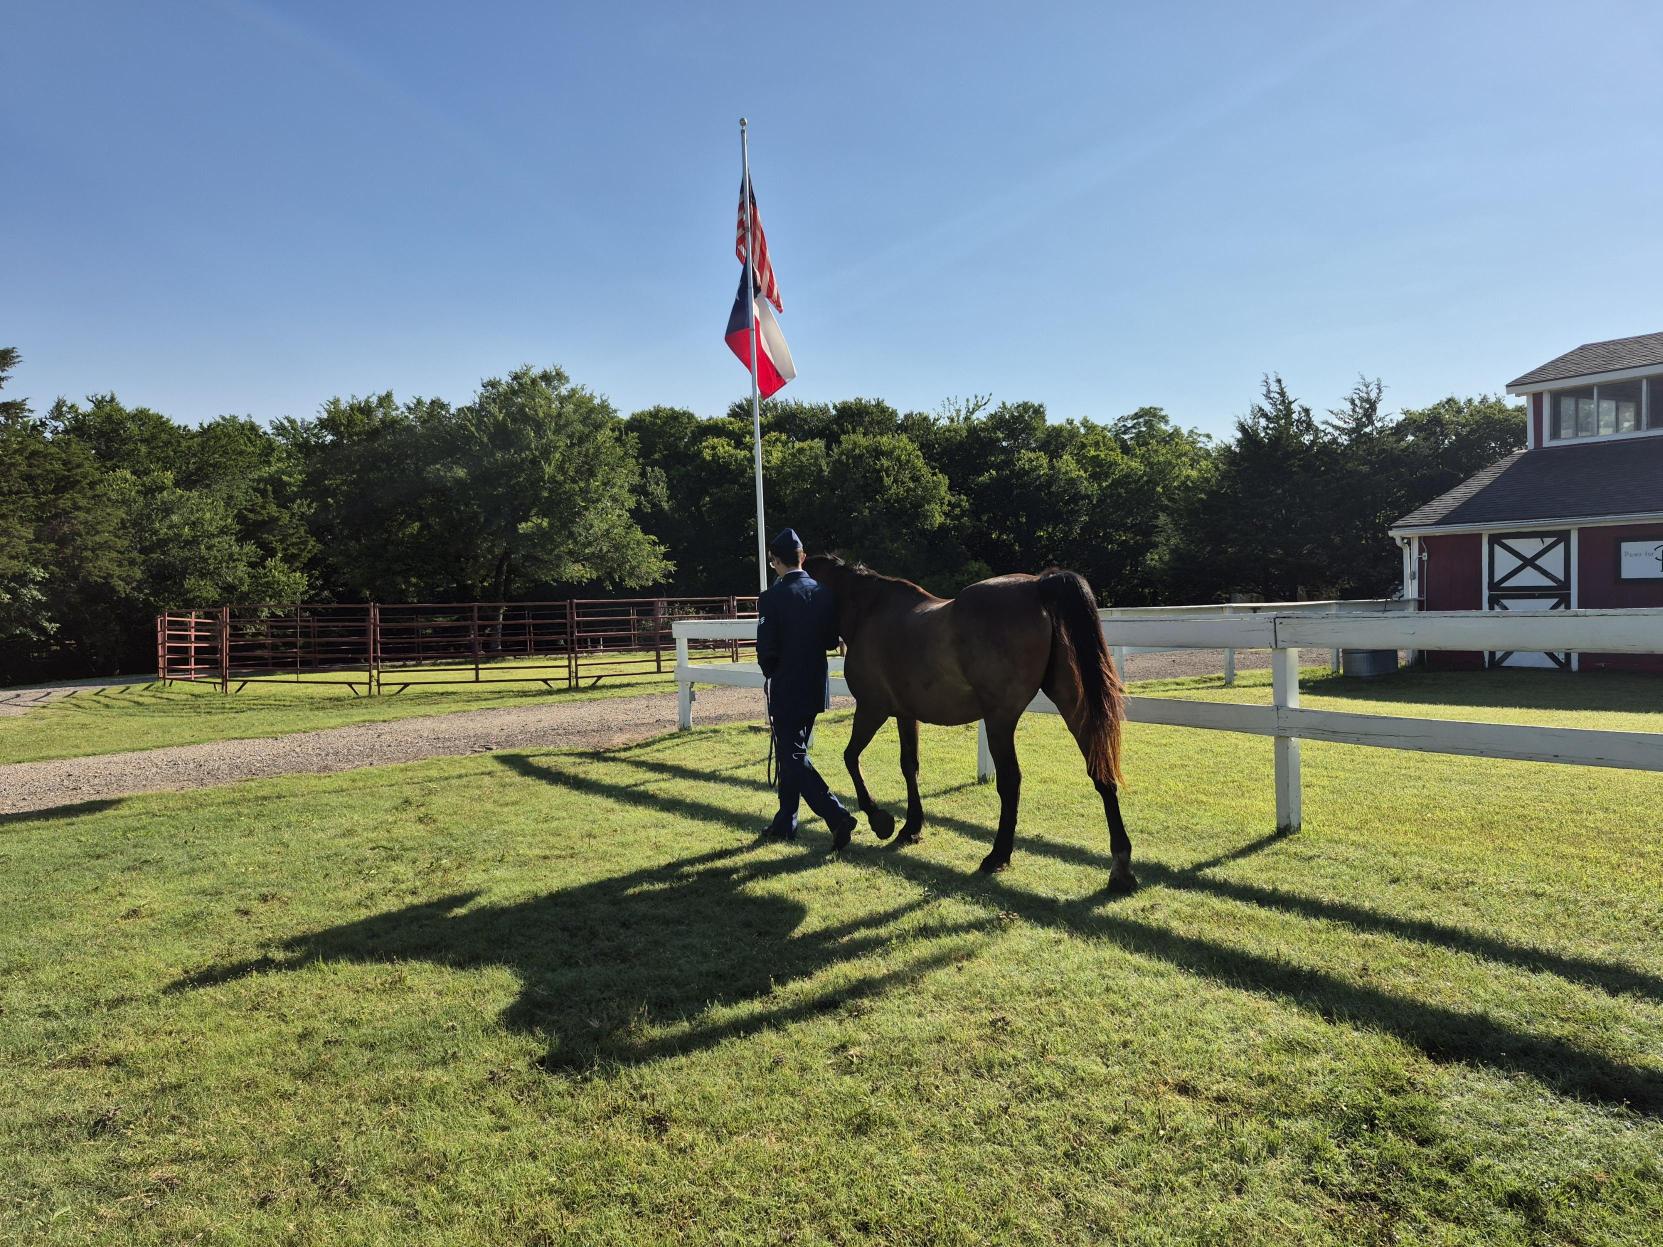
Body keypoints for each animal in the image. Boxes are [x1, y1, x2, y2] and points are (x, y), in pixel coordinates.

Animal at [803, 555, 1136, 890]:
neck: (869, 610)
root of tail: (1039, 585)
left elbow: (850, 757)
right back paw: (1121, 866)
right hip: (1071, 705)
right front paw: (911, 827)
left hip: (1000, 719)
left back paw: (998, 855)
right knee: (1100, 771)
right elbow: (909, 766)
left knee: (1010, 781)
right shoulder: (906, 714)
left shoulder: (872, 709)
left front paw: (879, 819)